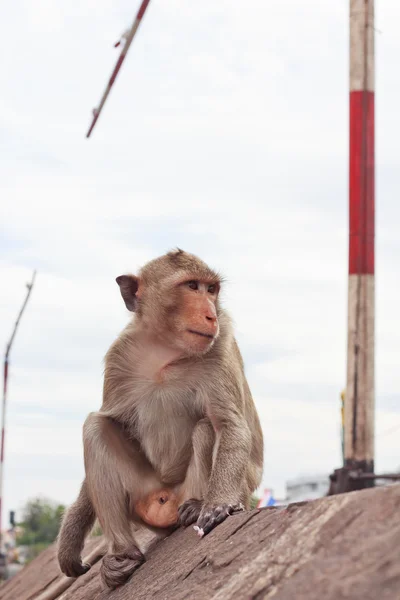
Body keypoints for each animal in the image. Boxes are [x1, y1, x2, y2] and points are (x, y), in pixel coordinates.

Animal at [56, 250, 262, 592]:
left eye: (211, 289)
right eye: (191, 286)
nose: (211, 316)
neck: (166, 352)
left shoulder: (220, 346)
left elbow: (229, 425)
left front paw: (218, 505)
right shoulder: (118, 358)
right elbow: (113, 420)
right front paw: (70, 541)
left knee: (205, 428)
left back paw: (195, 506)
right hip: (144, 495)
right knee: (96, 428)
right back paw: (122, 559)